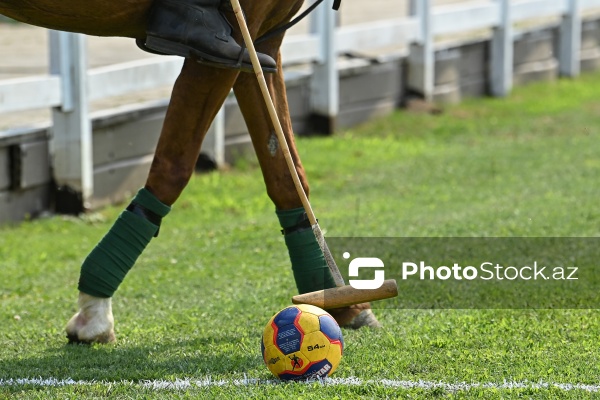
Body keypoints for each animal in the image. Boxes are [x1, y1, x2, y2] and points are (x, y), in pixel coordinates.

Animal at [0, 0, 380, 344]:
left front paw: (339, 302)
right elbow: (173, 167)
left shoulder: (261, 43)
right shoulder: (222, 47)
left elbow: (287, 172)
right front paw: (94, 312)